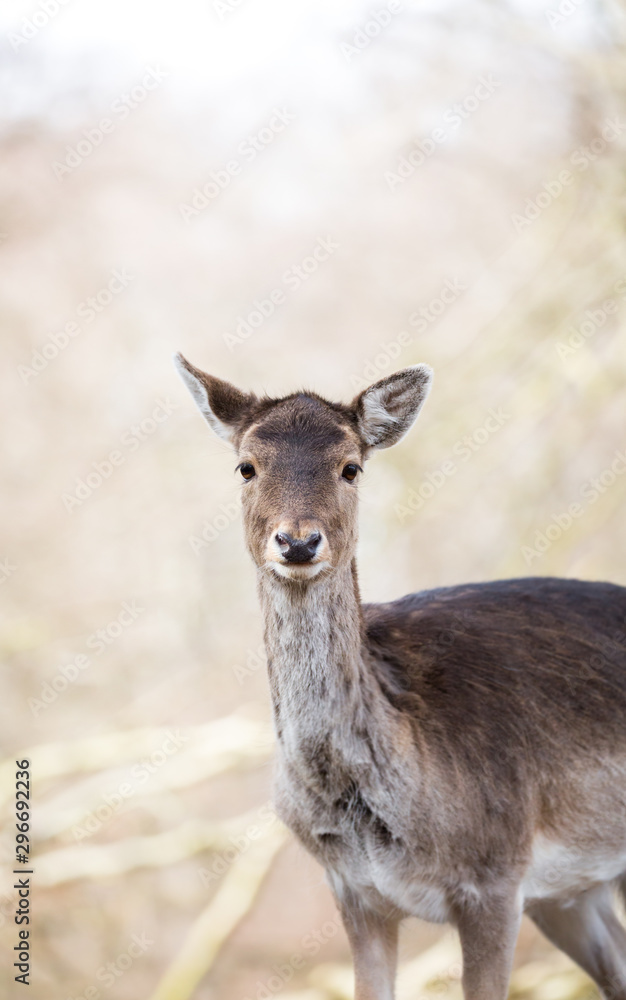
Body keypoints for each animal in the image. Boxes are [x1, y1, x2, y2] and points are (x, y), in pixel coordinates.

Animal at [172, 356, 624, 1000]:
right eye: (246, 466)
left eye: (351, 466)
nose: (298, 540)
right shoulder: (355, 893)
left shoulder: (496, 877)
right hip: (571, 893)